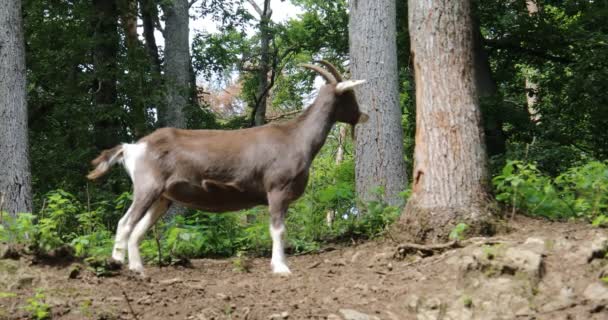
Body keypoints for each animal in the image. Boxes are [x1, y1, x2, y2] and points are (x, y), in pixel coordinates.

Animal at [87, 61, 368, 276]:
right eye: (350, 96)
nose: (363, 116)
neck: (295, 137)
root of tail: (132, 147)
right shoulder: (277, 190)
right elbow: (278, 230)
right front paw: (281, 268)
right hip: (147, 187)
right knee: (125, 223)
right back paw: (117, 264)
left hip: (162, 197)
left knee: (137, 230)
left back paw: (138, 269)